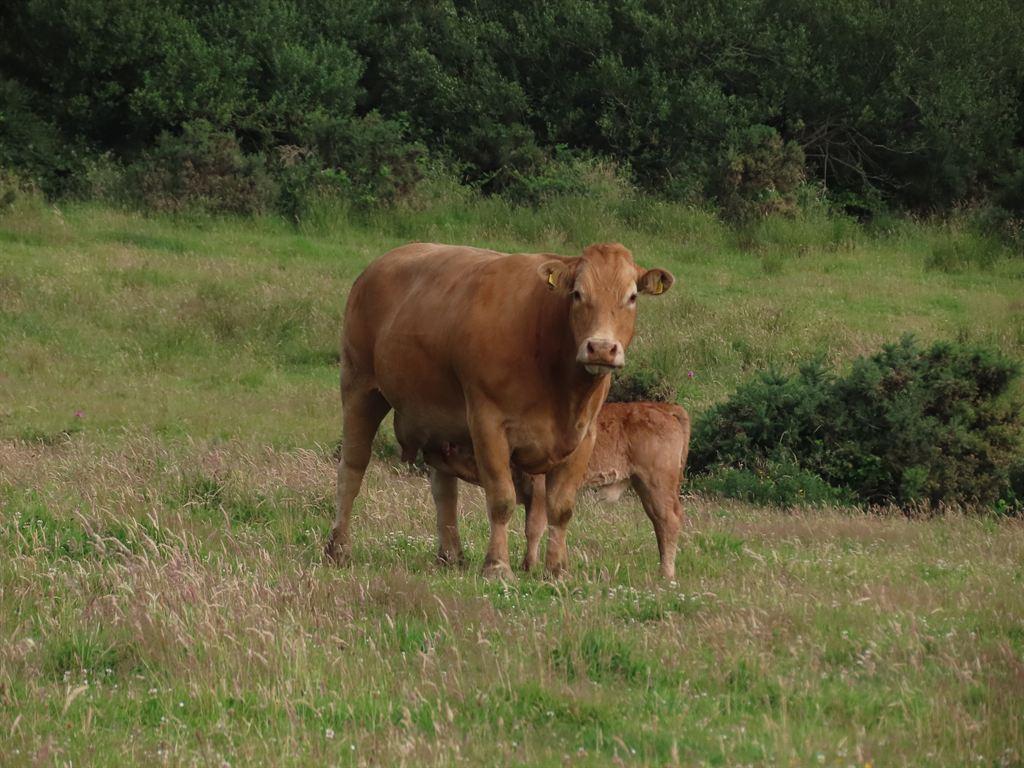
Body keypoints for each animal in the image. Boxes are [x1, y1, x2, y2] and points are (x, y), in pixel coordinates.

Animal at [425, 401, 692, 579]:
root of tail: (663, 408)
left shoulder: (539, 492)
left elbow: (533, 528)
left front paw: (529, 565)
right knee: (659, 523)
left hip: (655, 484)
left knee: (668, 521)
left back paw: (665, 573)